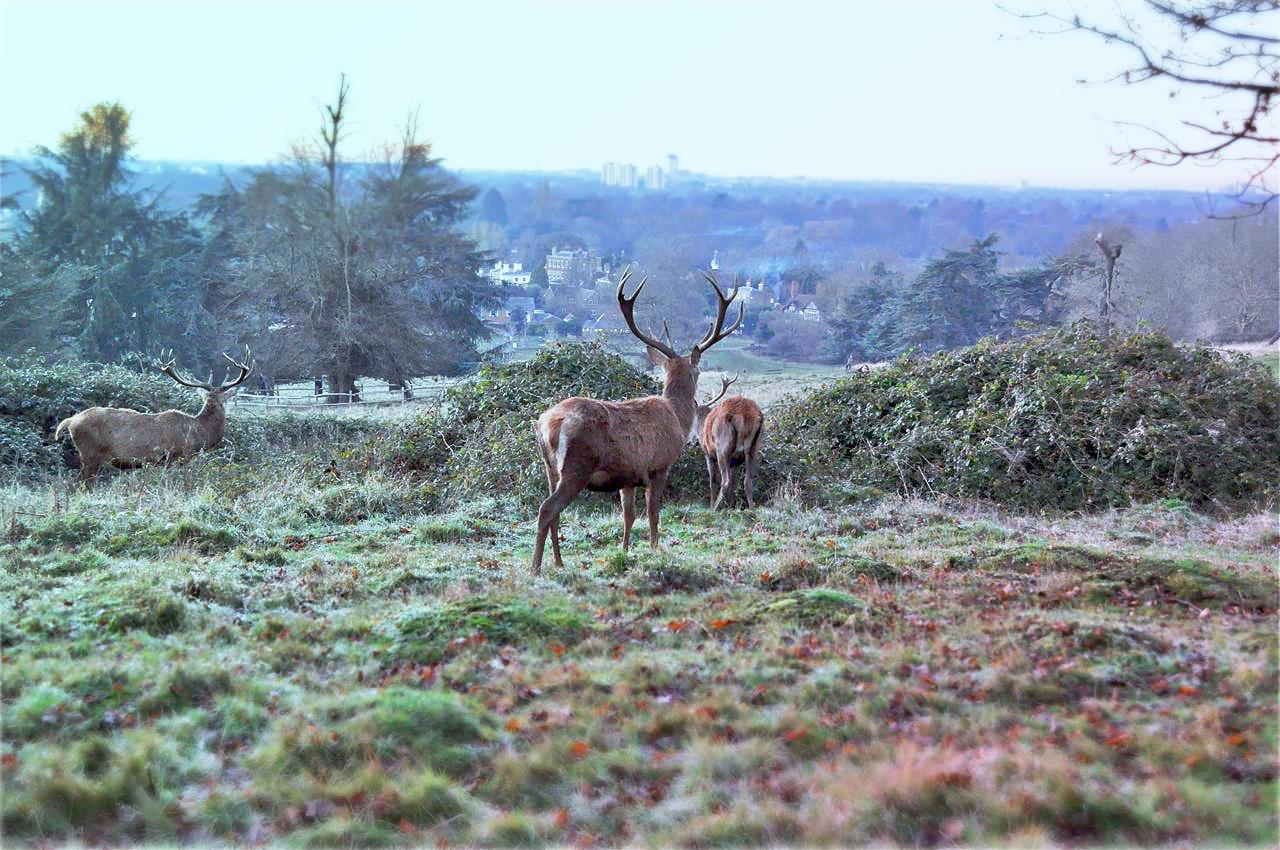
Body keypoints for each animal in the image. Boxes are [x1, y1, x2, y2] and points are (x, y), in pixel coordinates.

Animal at [529, 268, 747, 573]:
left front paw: (624, 551)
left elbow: (628, 516)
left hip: (550, 468)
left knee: (554, 513)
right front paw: (656, 549)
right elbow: (653, 512)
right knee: (546, 509)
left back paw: (559, 563)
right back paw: (536, 568)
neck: (676, 416)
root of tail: (548, 424)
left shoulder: (627, 478)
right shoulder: (658, 466)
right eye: (698, 371)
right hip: (576, 465)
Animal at [696, 376, 762, 506]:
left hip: (722, 447)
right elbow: (734, 482)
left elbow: (712, 482)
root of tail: (743, 415)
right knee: (748, 480)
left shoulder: (708, 454)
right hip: (753, 446)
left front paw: (712, 504)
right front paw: (732, 504)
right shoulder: (734, 461)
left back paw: (715, 507)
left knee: (726, 481)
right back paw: (751, 507)